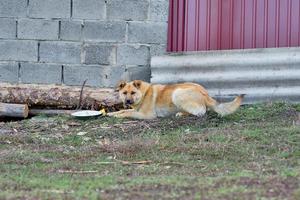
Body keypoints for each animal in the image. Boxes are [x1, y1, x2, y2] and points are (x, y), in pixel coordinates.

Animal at [108, 80, 244, 119]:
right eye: (124, 93)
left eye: (133, 93)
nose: (127, 101)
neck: (143, 93)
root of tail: (205, 92)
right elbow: (123, 110)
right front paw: (111, 113)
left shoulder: (146, 115)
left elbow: (127, 113)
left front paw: (117, 115)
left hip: (177, 93)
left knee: (201, 112)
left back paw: (181, 113)